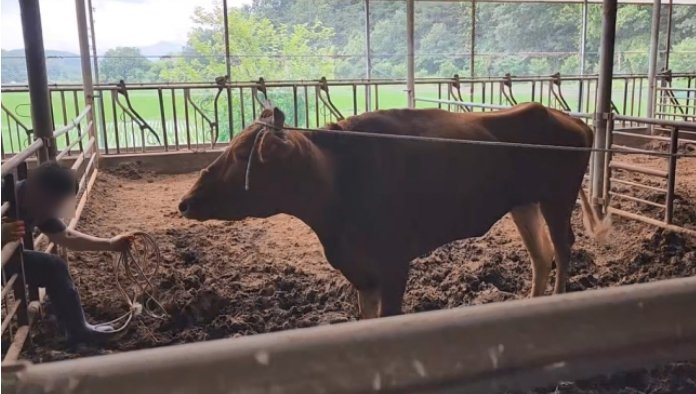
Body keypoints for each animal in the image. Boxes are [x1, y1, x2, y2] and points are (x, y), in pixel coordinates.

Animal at [179, 104, 608, 318]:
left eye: (239, 154)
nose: (187, 200)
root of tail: (571, 119)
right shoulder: (362, 273)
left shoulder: (393, 265)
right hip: (525, 203)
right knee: (541, 255)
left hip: (557, 199)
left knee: (563, 248)